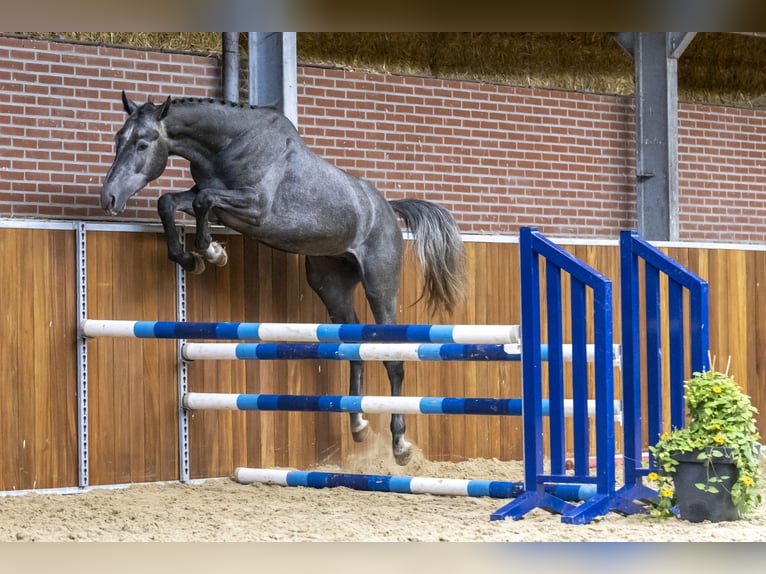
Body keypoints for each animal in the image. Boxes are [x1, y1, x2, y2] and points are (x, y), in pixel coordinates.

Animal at [99, 92, 464, 466]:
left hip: (380, 285)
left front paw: (212, 252)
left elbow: (203, 200)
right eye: (118, 138)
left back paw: (400, 445)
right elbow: (170, 201)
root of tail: (388, 209)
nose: (109, 197)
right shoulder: (213, 198)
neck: (229, 143)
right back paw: (358, 424)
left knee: (394, 358)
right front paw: (192, 258)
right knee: (354, 348)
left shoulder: (255, 207)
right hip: (330, 285)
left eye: (143, 144)